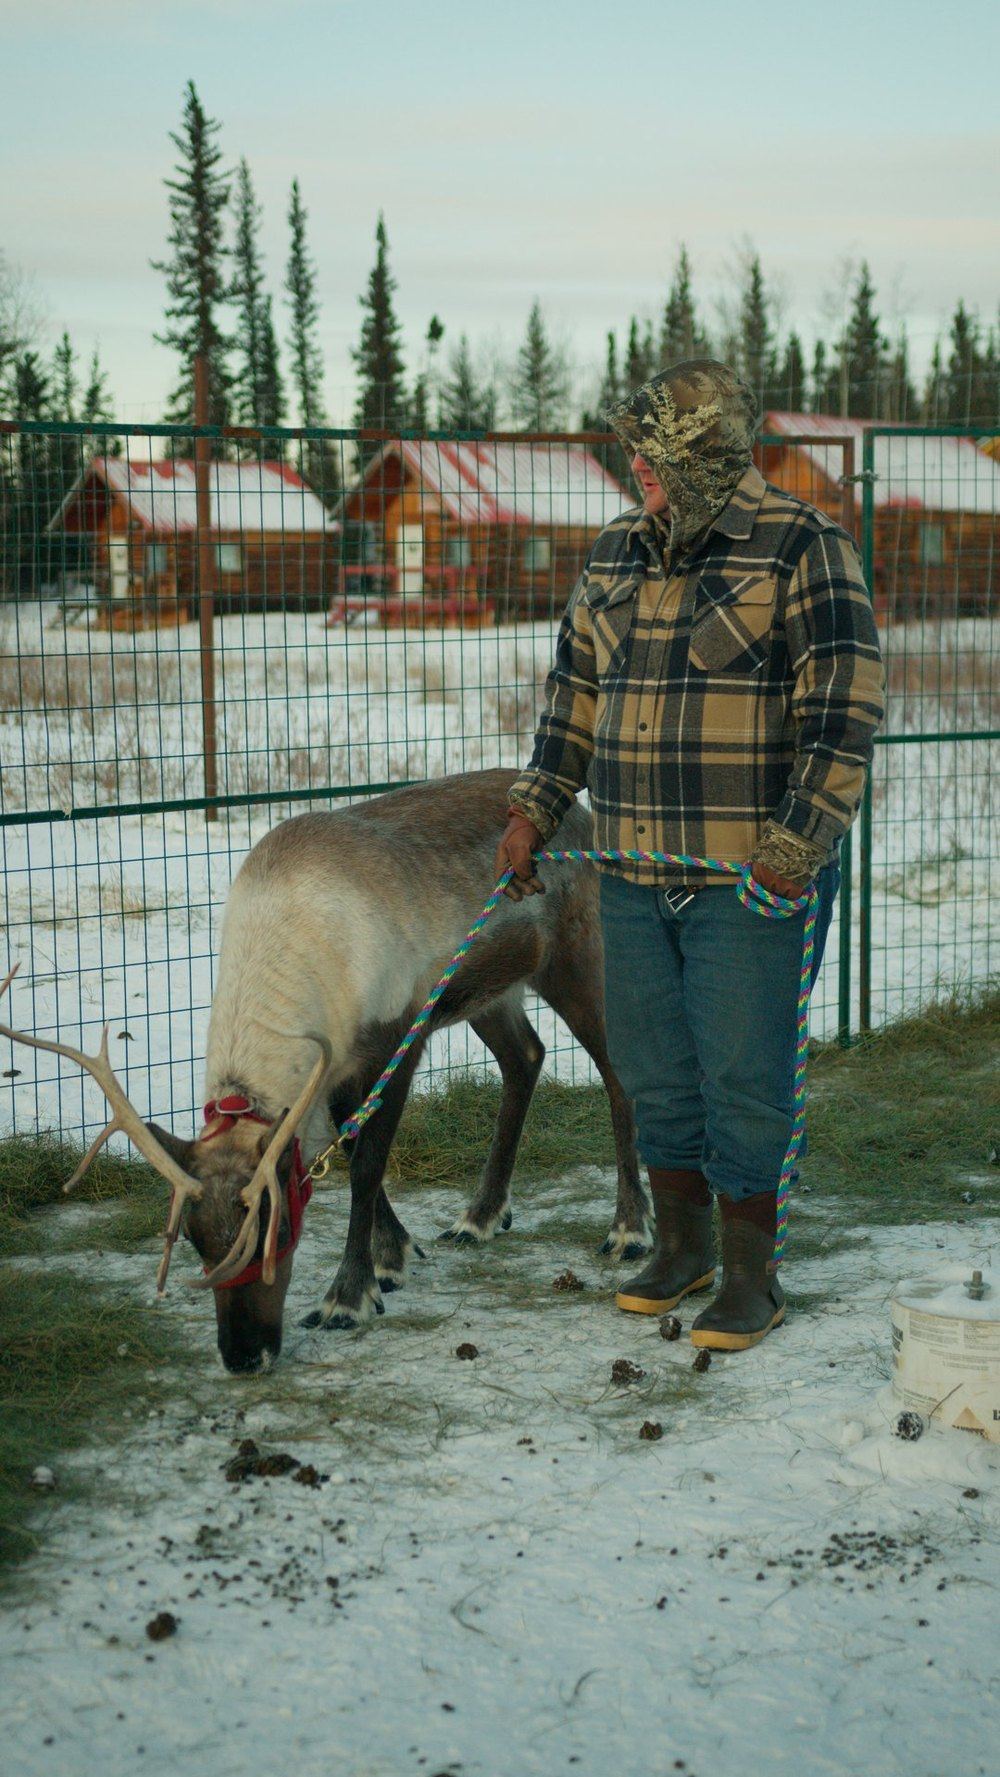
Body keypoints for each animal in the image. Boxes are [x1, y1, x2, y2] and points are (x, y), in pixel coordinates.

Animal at [0, 770, 648, 1373]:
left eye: (280, 1229)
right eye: (193, 1238)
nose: (243, 1356)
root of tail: (585, 819)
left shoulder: (397, 1034)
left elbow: (365, 1164)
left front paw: (348, 1296)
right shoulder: (339, 1067)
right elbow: (352, 1142)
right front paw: (394, 1256)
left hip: (577, 958)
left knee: (618, 1076)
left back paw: (628, 1230)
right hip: (487, 992)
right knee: (527, 1057)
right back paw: (481, 1216)